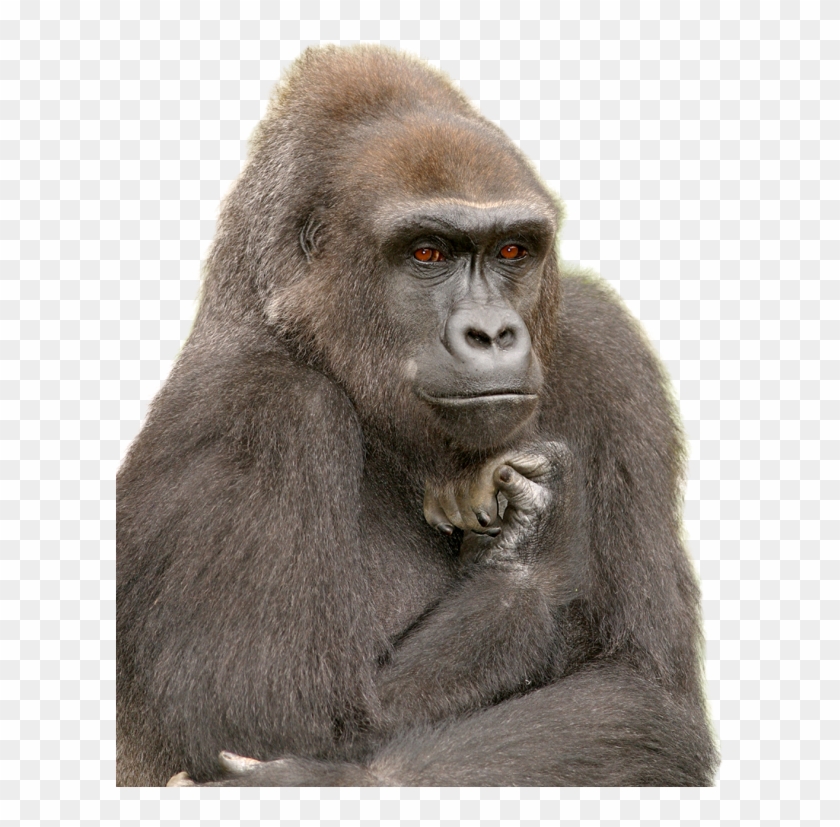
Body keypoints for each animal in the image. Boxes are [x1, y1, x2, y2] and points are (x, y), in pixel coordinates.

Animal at [117, 44, 719, 787]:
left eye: (513, 250)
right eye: (427, 252)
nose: (492, 333)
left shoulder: (609, 347)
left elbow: (644, 693)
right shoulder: (259, 407)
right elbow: (284, 725)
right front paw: (532, 554)